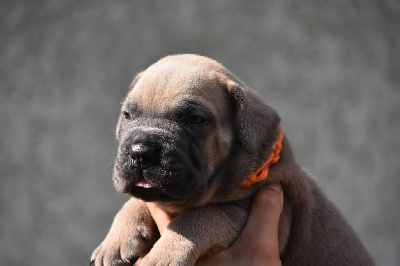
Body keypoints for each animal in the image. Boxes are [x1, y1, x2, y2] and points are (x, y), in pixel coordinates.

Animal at [90, 54, 372, 266]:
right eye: (127, 115)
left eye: (195, 120)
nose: (140, 151)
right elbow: (136, 201)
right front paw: (114, 241)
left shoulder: (259, 211)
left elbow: (202, 215)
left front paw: (164, 255)